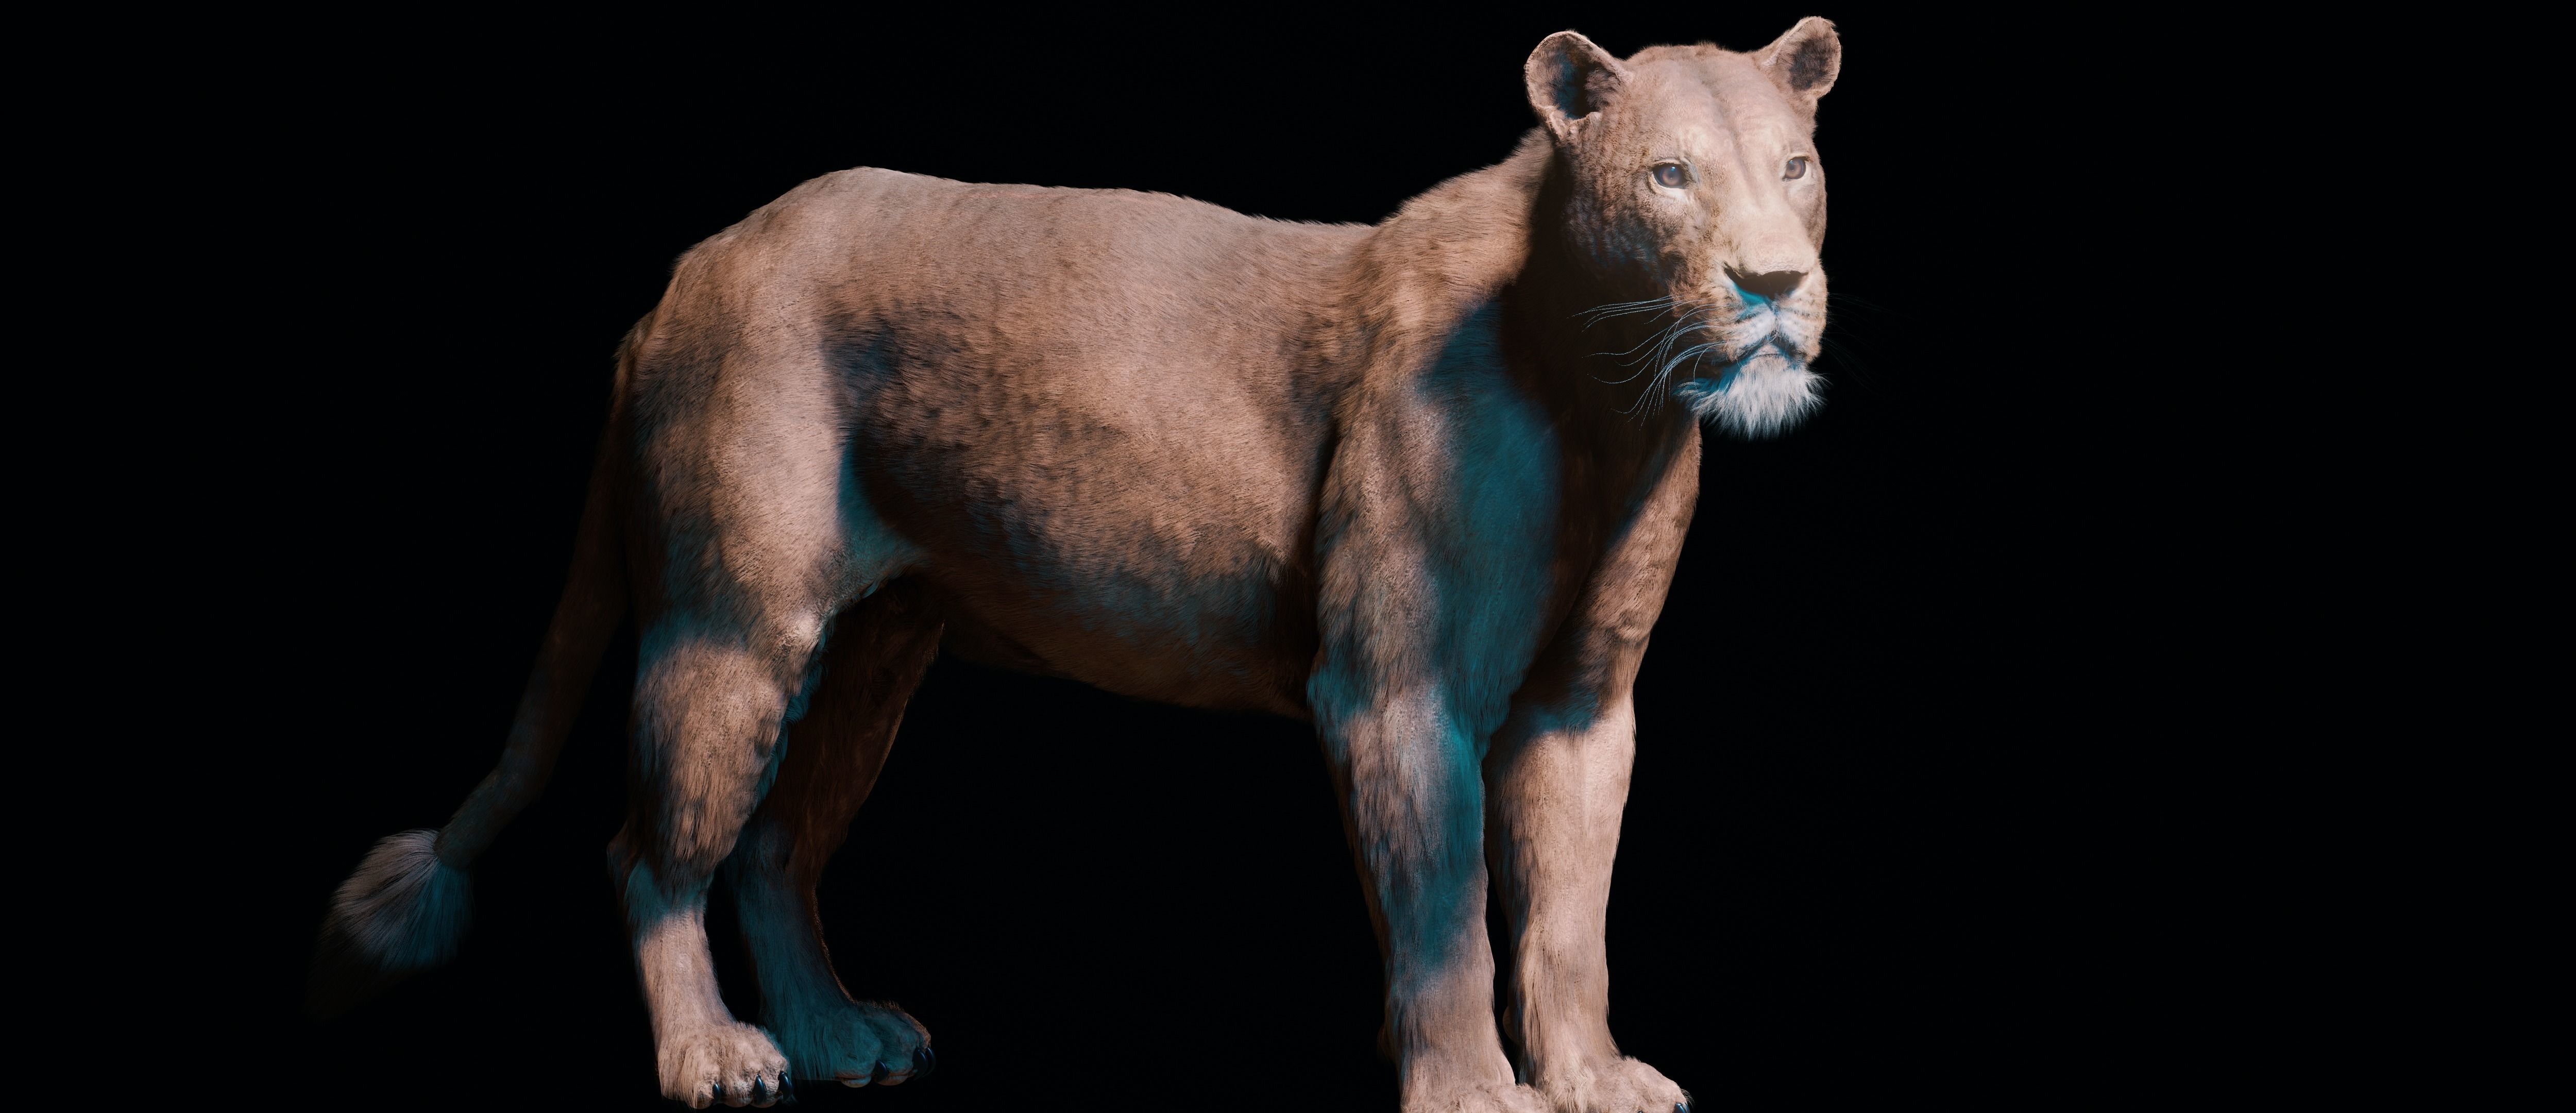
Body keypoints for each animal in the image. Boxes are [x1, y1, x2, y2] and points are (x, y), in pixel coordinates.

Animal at [313, 21, 1842, 1113]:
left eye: (1796, 169)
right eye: (1670, 175)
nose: (1774, 284)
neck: (1612, 398)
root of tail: (682, 279)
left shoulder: (1582, 707)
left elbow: (1571, 912)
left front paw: (1590, 1078)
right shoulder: (1394, 689)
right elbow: (1446, 910)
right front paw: (1475, 1096)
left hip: (875, 650)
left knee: (771, 846)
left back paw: (837, 1037)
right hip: (735, 626)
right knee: (653, 848)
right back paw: (718, 1059)